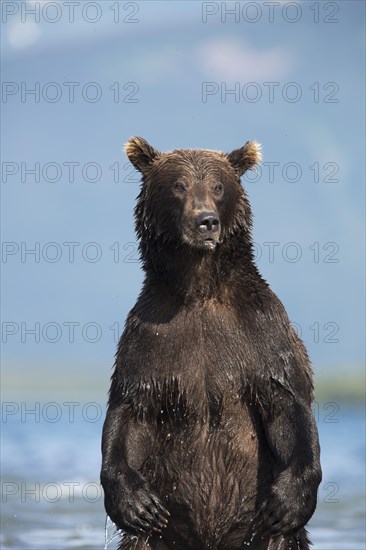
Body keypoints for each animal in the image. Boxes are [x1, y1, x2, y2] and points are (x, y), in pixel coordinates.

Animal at [100, 138, 320, 550]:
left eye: (218, 186)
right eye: (178, 185)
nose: (206, 220)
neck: (199, 291)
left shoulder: (260, 331)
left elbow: (285, 403)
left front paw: (288, 500)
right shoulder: (150, 337)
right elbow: (131, 410)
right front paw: (135, 504)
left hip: (262, 536)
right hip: (156, 538)